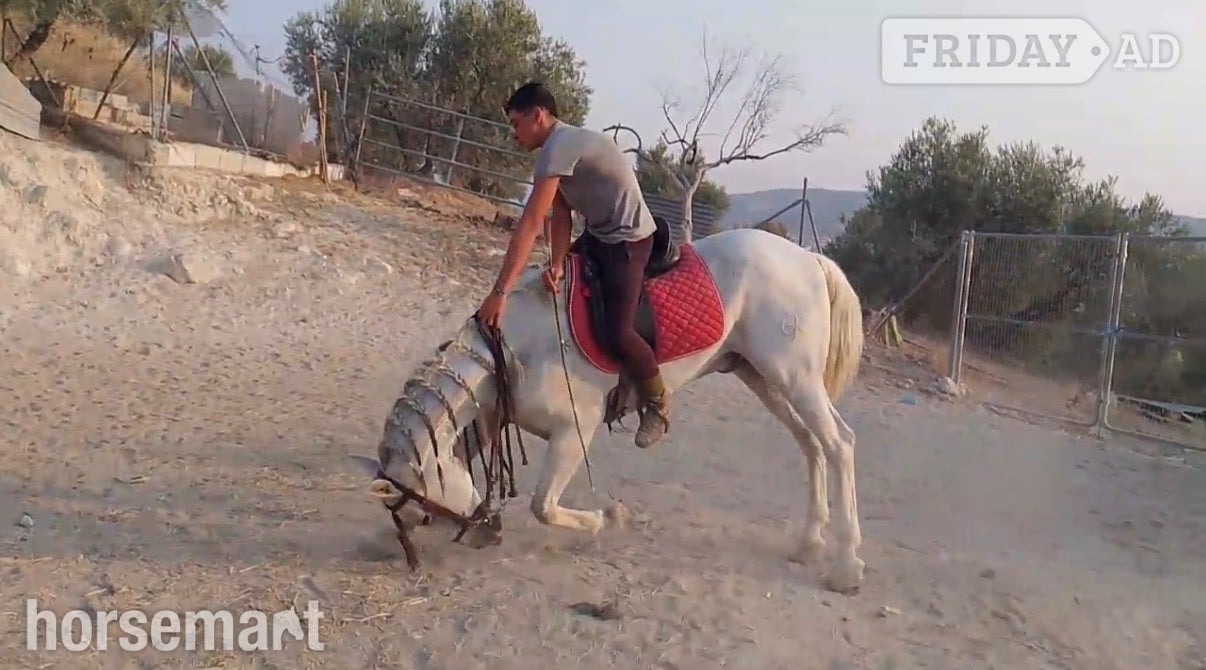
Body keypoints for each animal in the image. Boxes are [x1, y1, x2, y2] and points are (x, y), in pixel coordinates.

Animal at [348, 225, 867, 593]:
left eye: (419, 505)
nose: (486, 534)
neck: (515, 349)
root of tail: (809, 258)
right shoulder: (492, 421)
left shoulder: (572, 433)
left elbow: (543, 506)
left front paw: (607, 519)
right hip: (764, 378)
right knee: (812, 445)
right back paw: (809, 543)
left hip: (794, 378)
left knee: (840, 444)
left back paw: (845, 568)